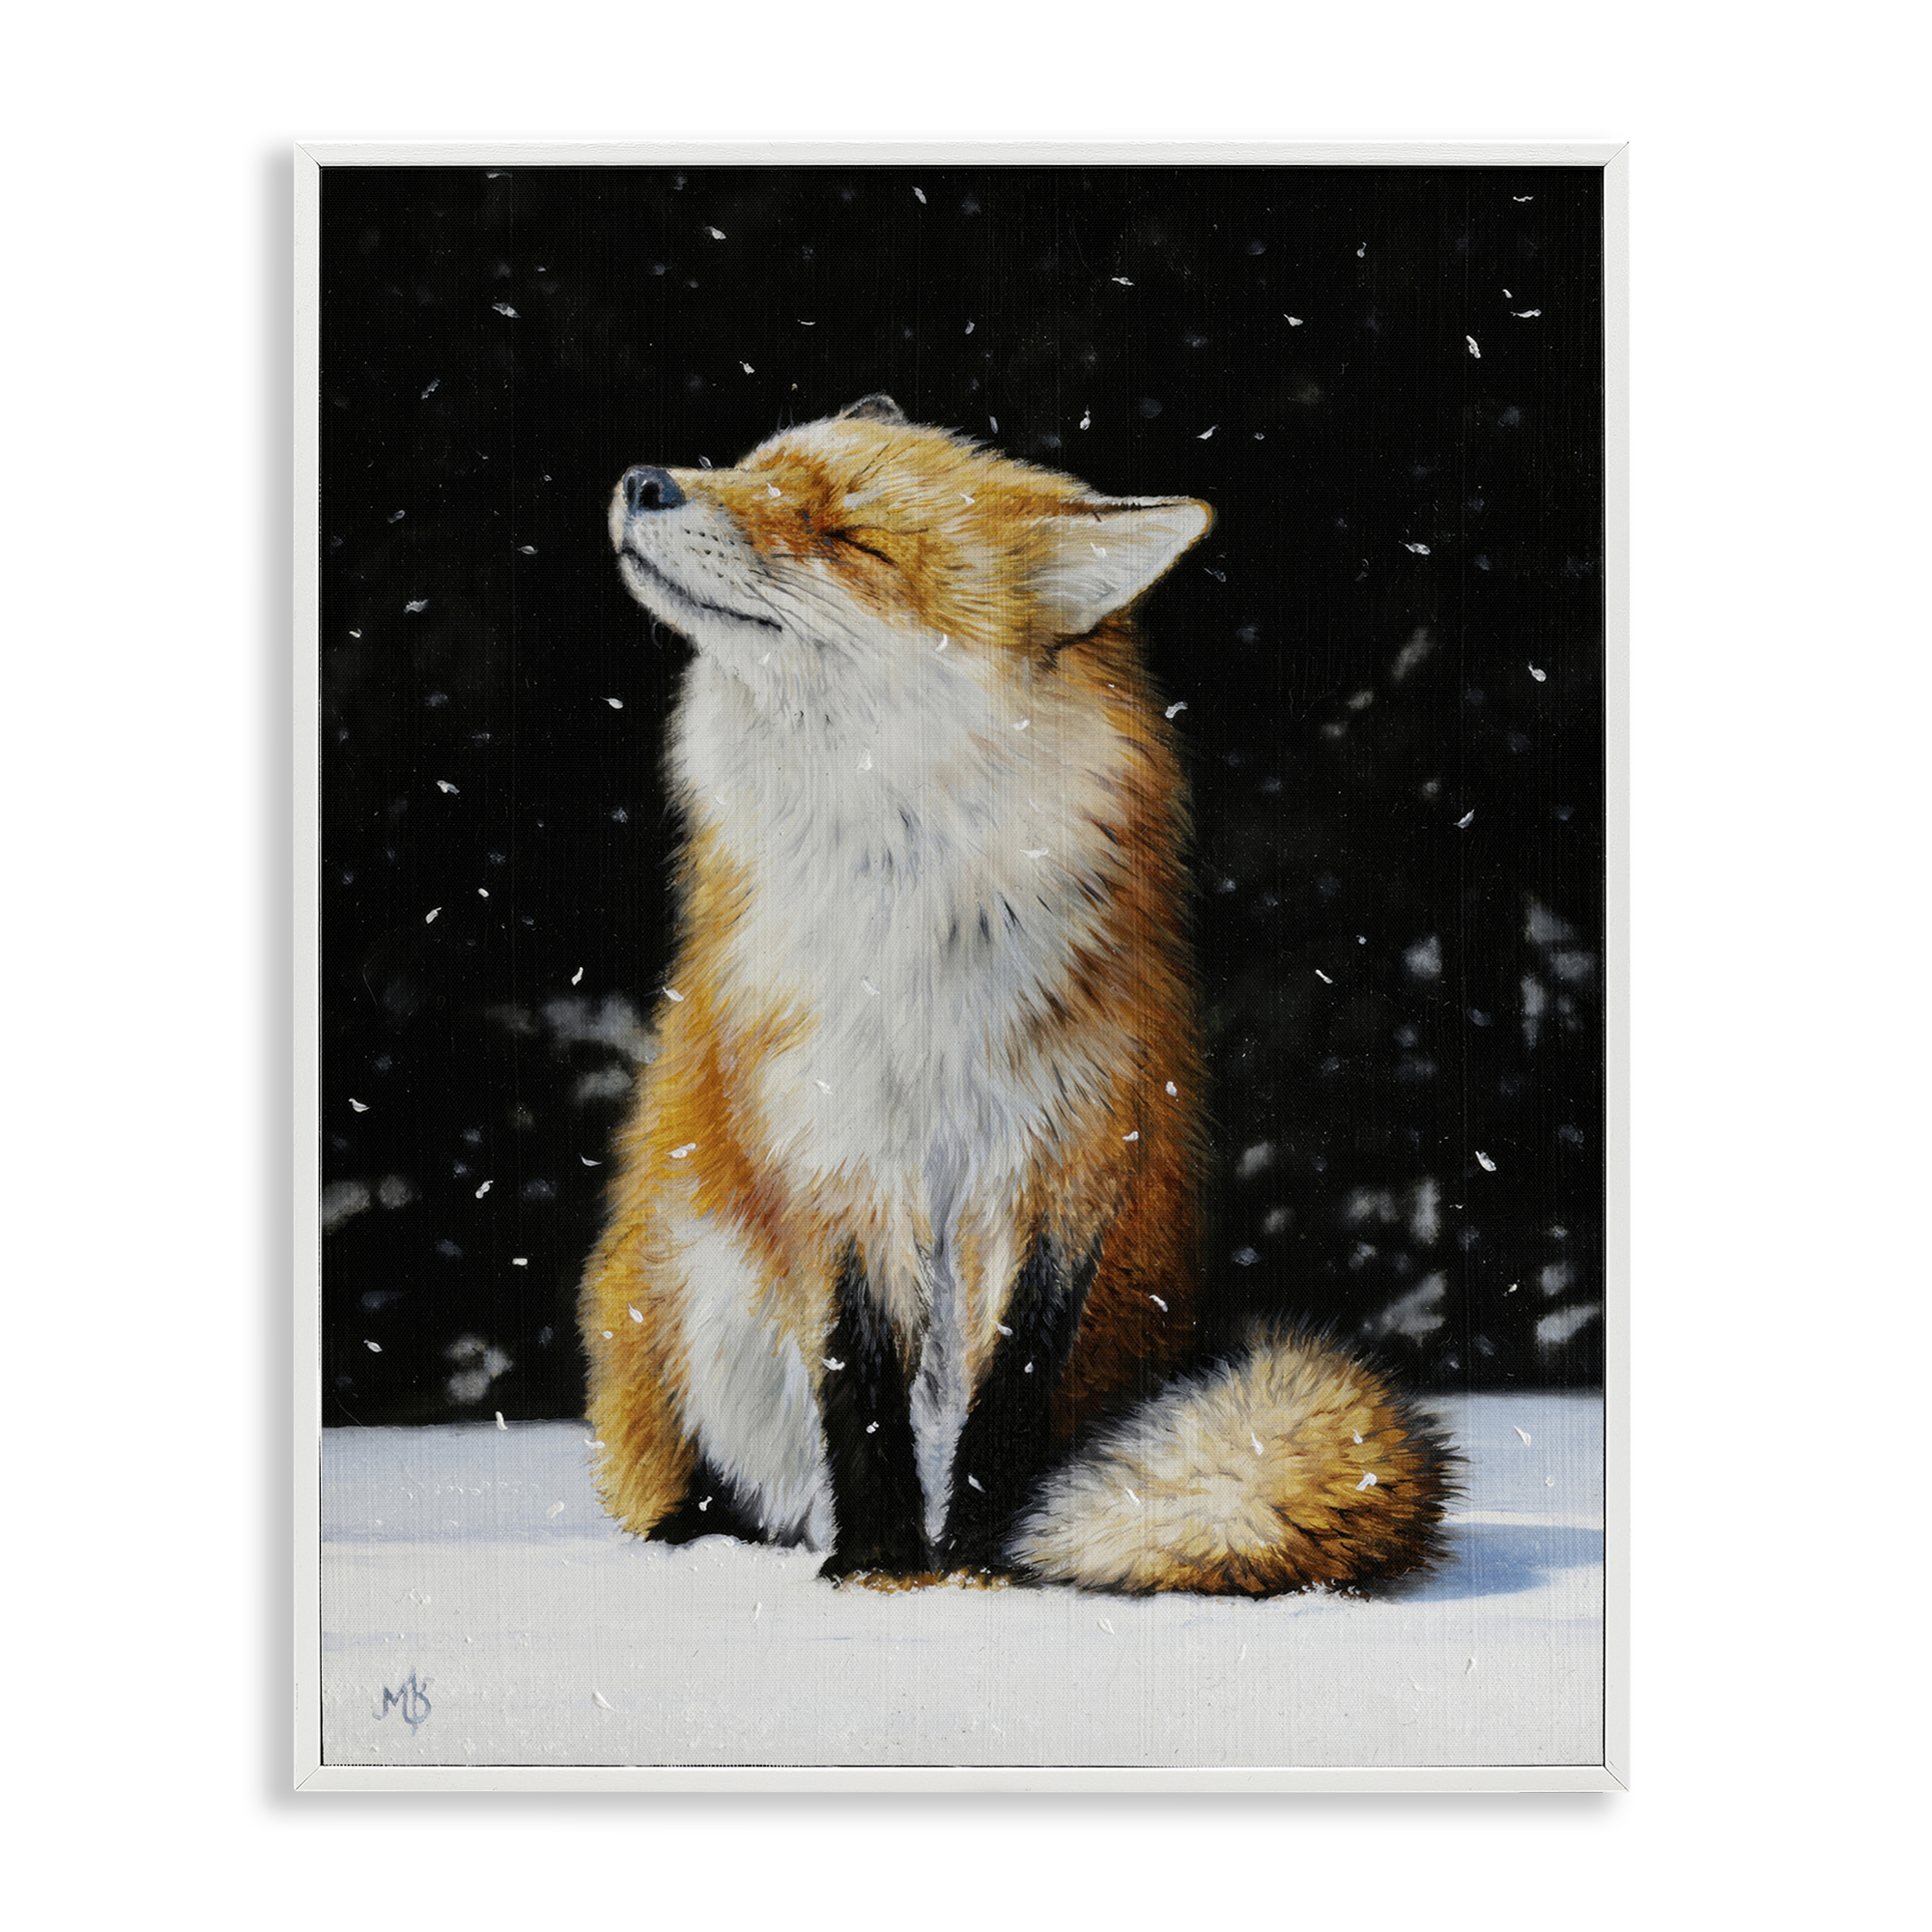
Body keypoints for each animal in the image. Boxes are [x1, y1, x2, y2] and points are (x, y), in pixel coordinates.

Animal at [579, 392, 1451, 1595]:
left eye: (853, 538)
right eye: (754, 466)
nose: (644, 481)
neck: (914, 951)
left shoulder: (1068, 1158)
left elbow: (1010, 1393)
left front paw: (983, 1560)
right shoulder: (832, 1162)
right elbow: (859, 1392)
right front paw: (881, 1566)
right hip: (685, 1296)